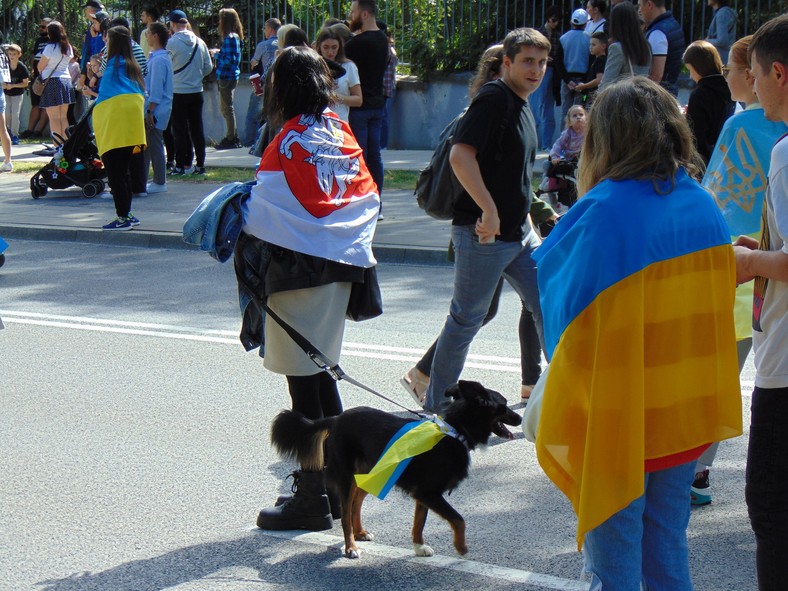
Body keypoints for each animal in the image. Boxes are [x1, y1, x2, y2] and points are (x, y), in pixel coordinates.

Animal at [270, 382, 524, 556]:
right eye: (503, 406)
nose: (521, 419)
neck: (454, 431)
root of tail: (335, 419)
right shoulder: (429, 493)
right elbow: (458, 519)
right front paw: (461, 547)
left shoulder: (424, 495)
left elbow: (419, 522)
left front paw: (419, 547)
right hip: (347, 478)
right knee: (346, 514)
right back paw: (351, 546)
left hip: (371, 475)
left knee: (356, 504)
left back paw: (360, 532)